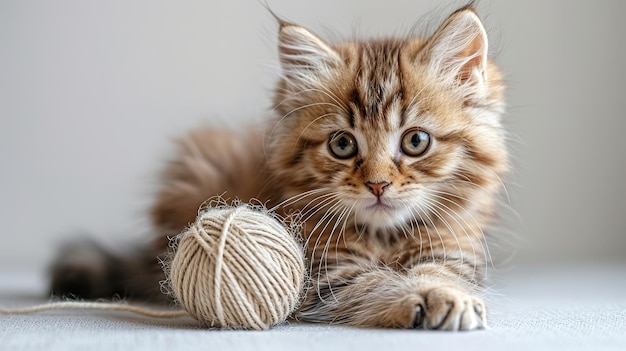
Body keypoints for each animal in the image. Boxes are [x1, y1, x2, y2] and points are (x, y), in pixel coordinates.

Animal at [50, 4, 508, 332]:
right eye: (342, 144)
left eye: (416, 141)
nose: (377, 185)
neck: (385, 237)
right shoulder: (325, 276)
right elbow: (377, 283)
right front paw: (425, 296)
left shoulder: (454, 252)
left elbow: (439, 274)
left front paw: (444, 294)